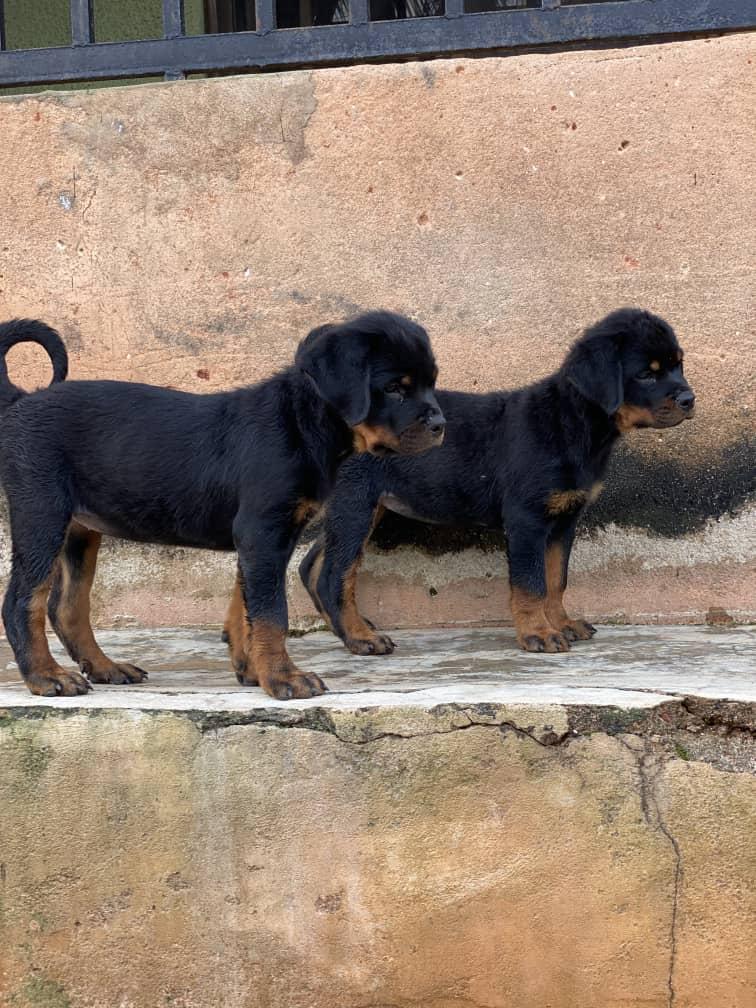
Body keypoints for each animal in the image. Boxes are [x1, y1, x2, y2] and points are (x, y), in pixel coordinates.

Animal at [0, 310, 447, 697]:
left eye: (431, 382)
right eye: (394, 388)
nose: (441, 425)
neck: (300, 421)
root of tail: (21, 400)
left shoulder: (258, 539)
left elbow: (244, 608)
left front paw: (251, 670)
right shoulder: (264, 532)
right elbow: (271, 614)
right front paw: (284, 679)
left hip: (80, 530)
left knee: (67, 607)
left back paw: (106, 668)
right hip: (42, 515)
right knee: (23, 602)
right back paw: (47, 677)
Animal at [298, 306, 697, 653]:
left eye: (678, 364)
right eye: (646, 373)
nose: (690, 399)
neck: (573, 421)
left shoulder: (563, 520)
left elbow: (556, 580)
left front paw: (562, 623)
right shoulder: (527, 519)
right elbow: (531, 584)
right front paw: (539, 634)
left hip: (361, 507)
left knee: (312, 566)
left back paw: (345, 630)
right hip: (356, 503)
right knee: (334, 575)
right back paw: (360, 637)